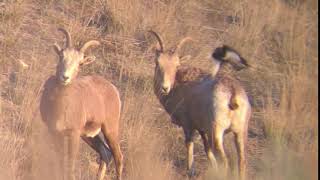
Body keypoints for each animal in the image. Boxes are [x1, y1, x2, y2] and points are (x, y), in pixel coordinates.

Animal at [39, 27, 124, 180]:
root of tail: (113, 90)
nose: (65, 77)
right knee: (105, 153)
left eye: (80, 63)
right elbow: (60, 161)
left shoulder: (73, 135)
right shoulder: (55, 133)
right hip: (90, 136)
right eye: (61, 56)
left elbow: (70, 165)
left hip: (110, 130)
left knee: (118, 157)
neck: (60, 106)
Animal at [149, 30, 251, 179]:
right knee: (242, 161)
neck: (179, 84)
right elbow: (206, 148)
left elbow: (189, 143)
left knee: (224, 161)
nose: (165, 87)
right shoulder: (202, 128)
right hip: (240, 132)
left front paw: (190, 170)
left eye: (177, 65)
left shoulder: (188, 124)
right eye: (157, 62)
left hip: (217, 132)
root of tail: (233, 93)